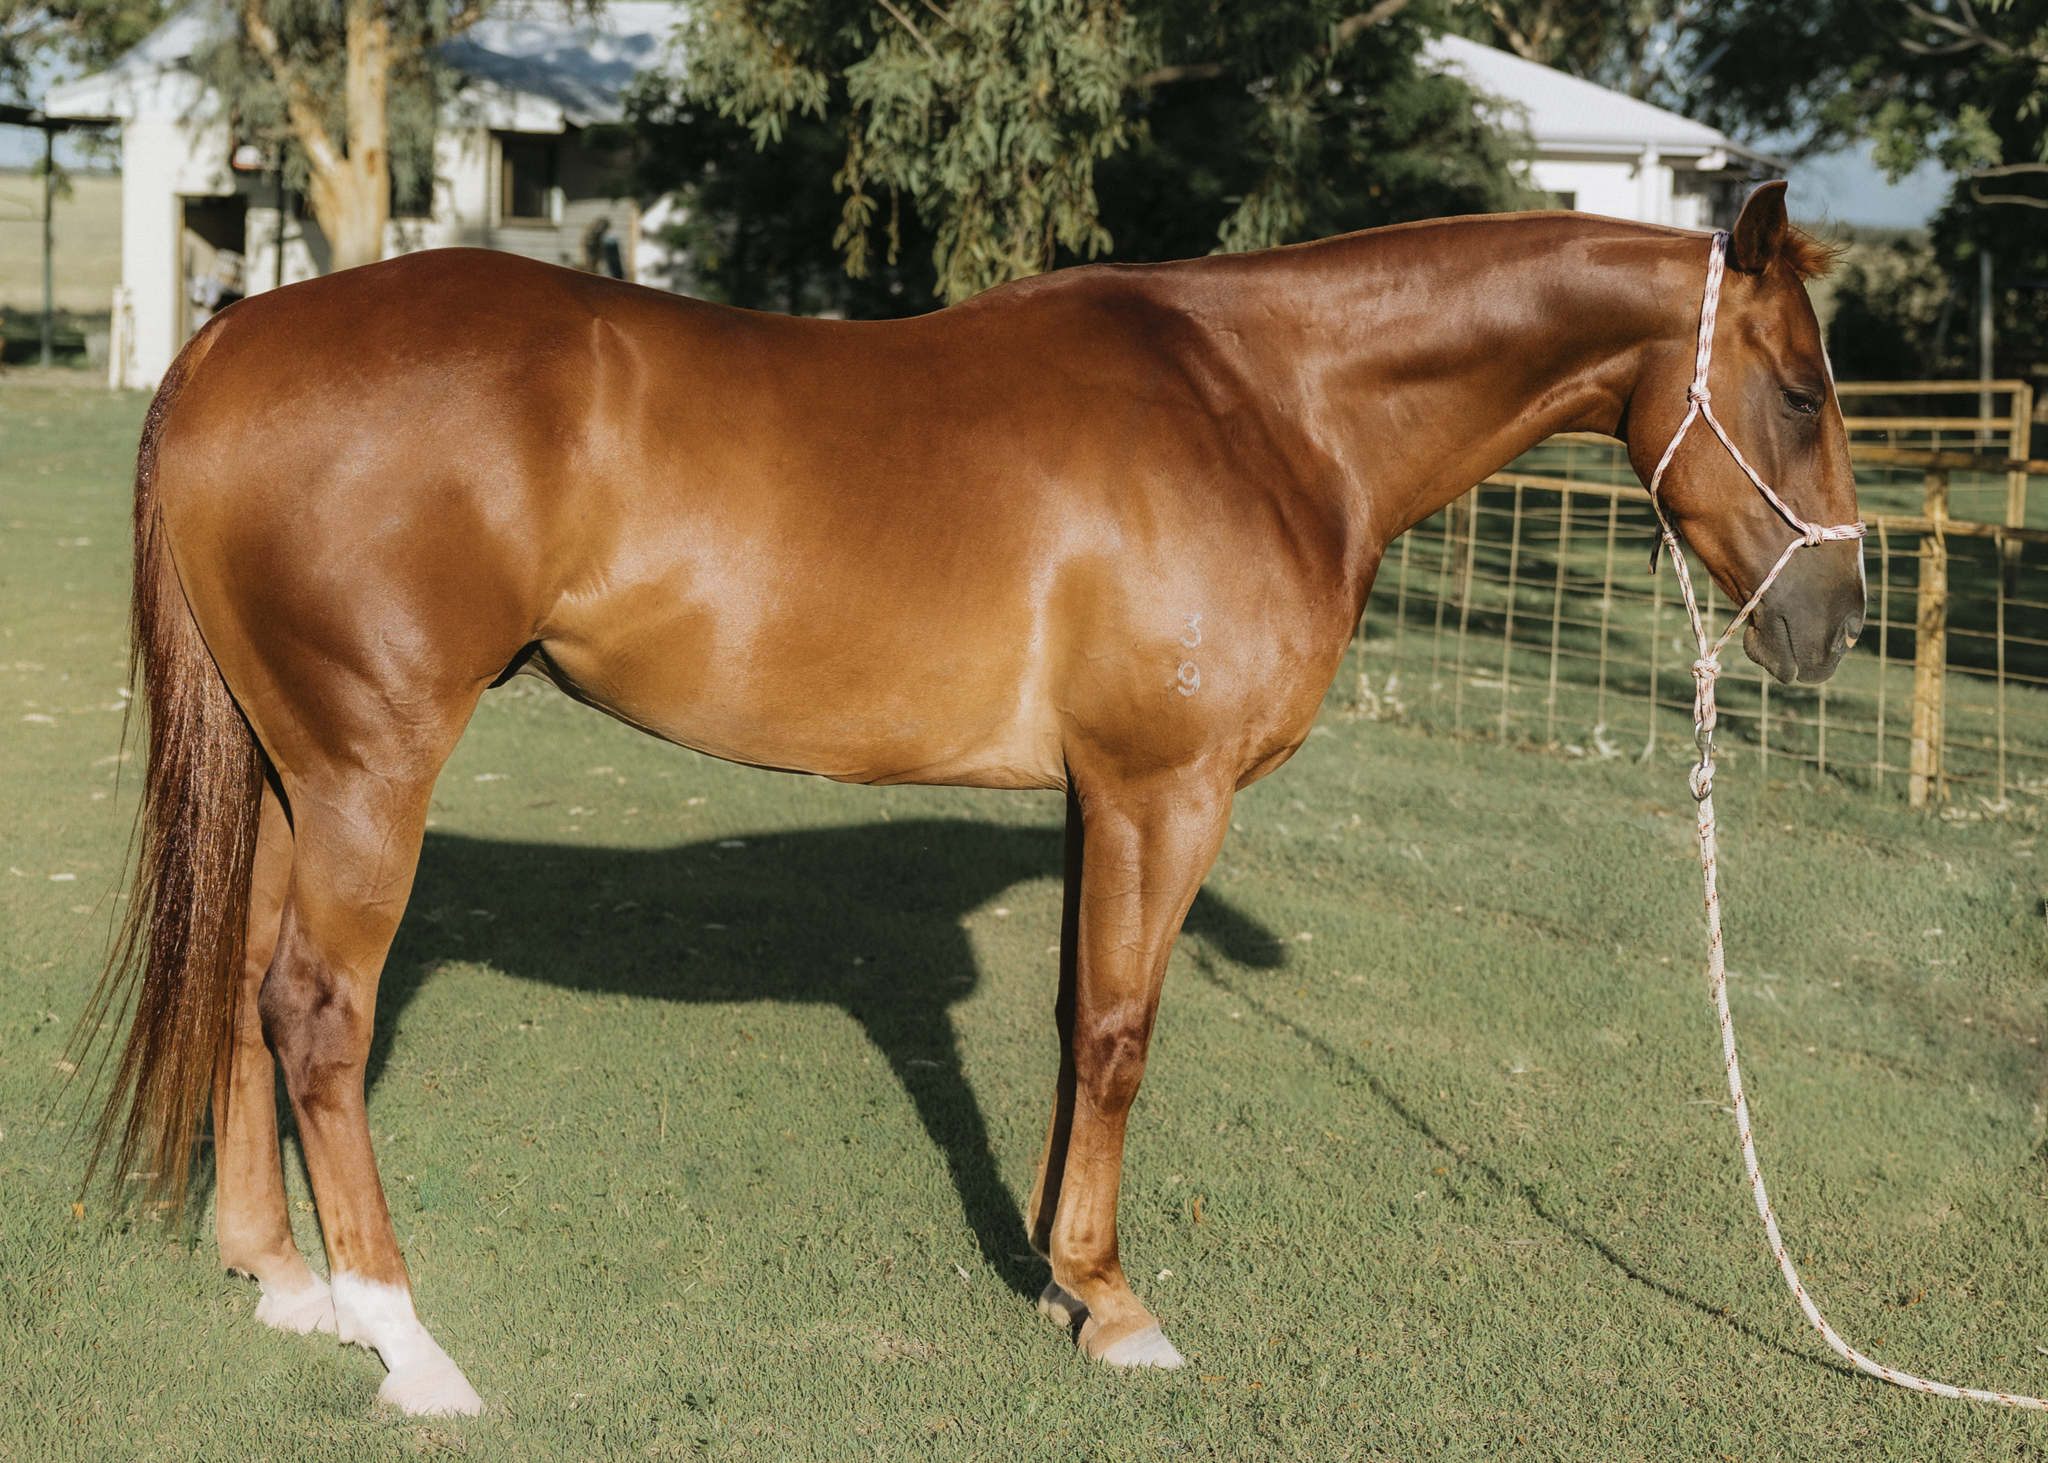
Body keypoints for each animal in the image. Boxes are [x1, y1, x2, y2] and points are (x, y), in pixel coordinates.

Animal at [81, 180, 1861, 1416]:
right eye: (1797, 391)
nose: (1830, 623)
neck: (1273, 406)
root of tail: (234, 332)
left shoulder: (1101, 797)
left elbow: (1080, 1015)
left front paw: (1059, 1275)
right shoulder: (1165, 790)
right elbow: (1124, 1031)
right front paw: (1118, 1307)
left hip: (288, 769)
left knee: (240, 986)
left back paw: (283, 1280)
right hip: (372, 766)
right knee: (316, 1011)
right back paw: (409, 1343)